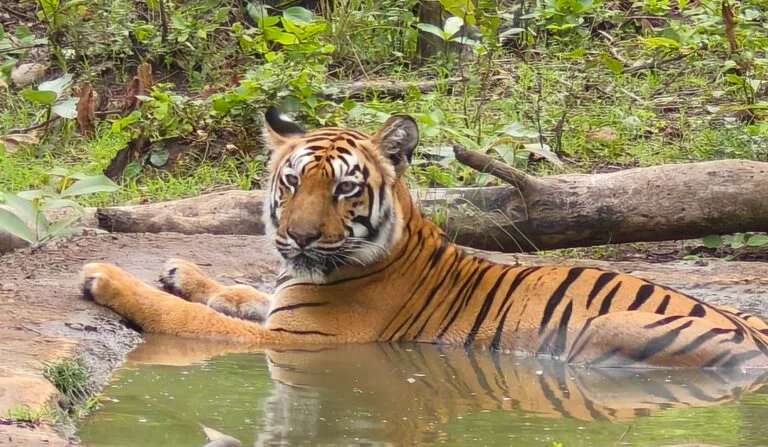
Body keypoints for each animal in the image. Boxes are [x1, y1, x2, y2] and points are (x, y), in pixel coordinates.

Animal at [80, 106, 768, 368]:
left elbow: (191, 318)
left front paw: (107, 277)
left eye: (345, 189)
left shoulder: (297, 339)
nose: (298, 238)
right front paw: (182, 269)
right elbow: (240, 289)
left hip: (603, 332)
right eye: (292, 181)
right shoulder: (282, 302)